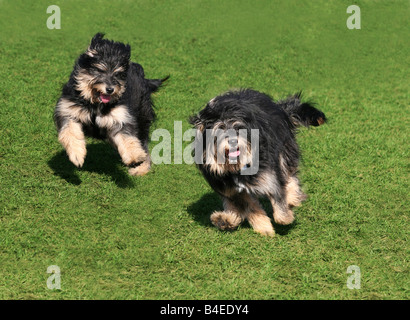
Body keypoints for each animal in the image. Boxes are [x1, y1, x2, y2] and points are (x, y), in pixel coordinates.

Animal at [53, 32, 167, 175]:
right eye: (100, 69)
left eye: (118, 74)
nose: (110, 89)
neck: (94, 104)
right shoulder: (68, 110)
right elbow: (70, 132)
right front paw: (77, 155)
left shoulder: (120, 117)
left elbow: (127, 137)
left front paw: (134, 158)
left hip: (142, 116)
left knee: (142, 141)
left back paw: (141, 168)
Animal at [189, 89, 326, 236]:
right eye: (219, 131)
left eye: (238, 128)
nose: (233, 141)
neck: (234, 168)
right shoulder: (231, 189)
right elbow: (251, 208)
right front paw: (264, 228)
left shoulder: (268, 175)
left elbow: (277, 195)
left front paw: (285, 217)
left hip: (284, 148)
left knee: (289, 174)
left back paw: (293, 198)